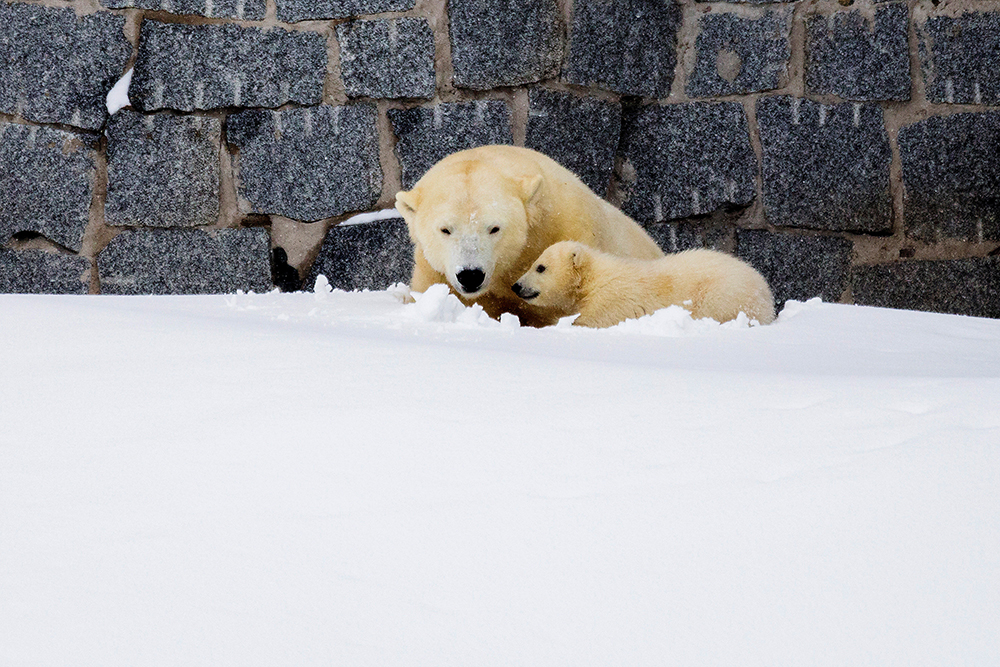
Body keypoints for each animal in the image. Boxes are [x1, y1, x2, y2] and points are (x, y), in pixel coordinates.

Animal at [511, 241, 776, 328]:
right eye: (535, 263)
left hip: (724, 293)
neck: (592, 280)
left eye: (540, 267)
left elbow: (588, 321)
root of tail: (766, 292)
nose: (516, 286)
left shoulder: (612, 301)